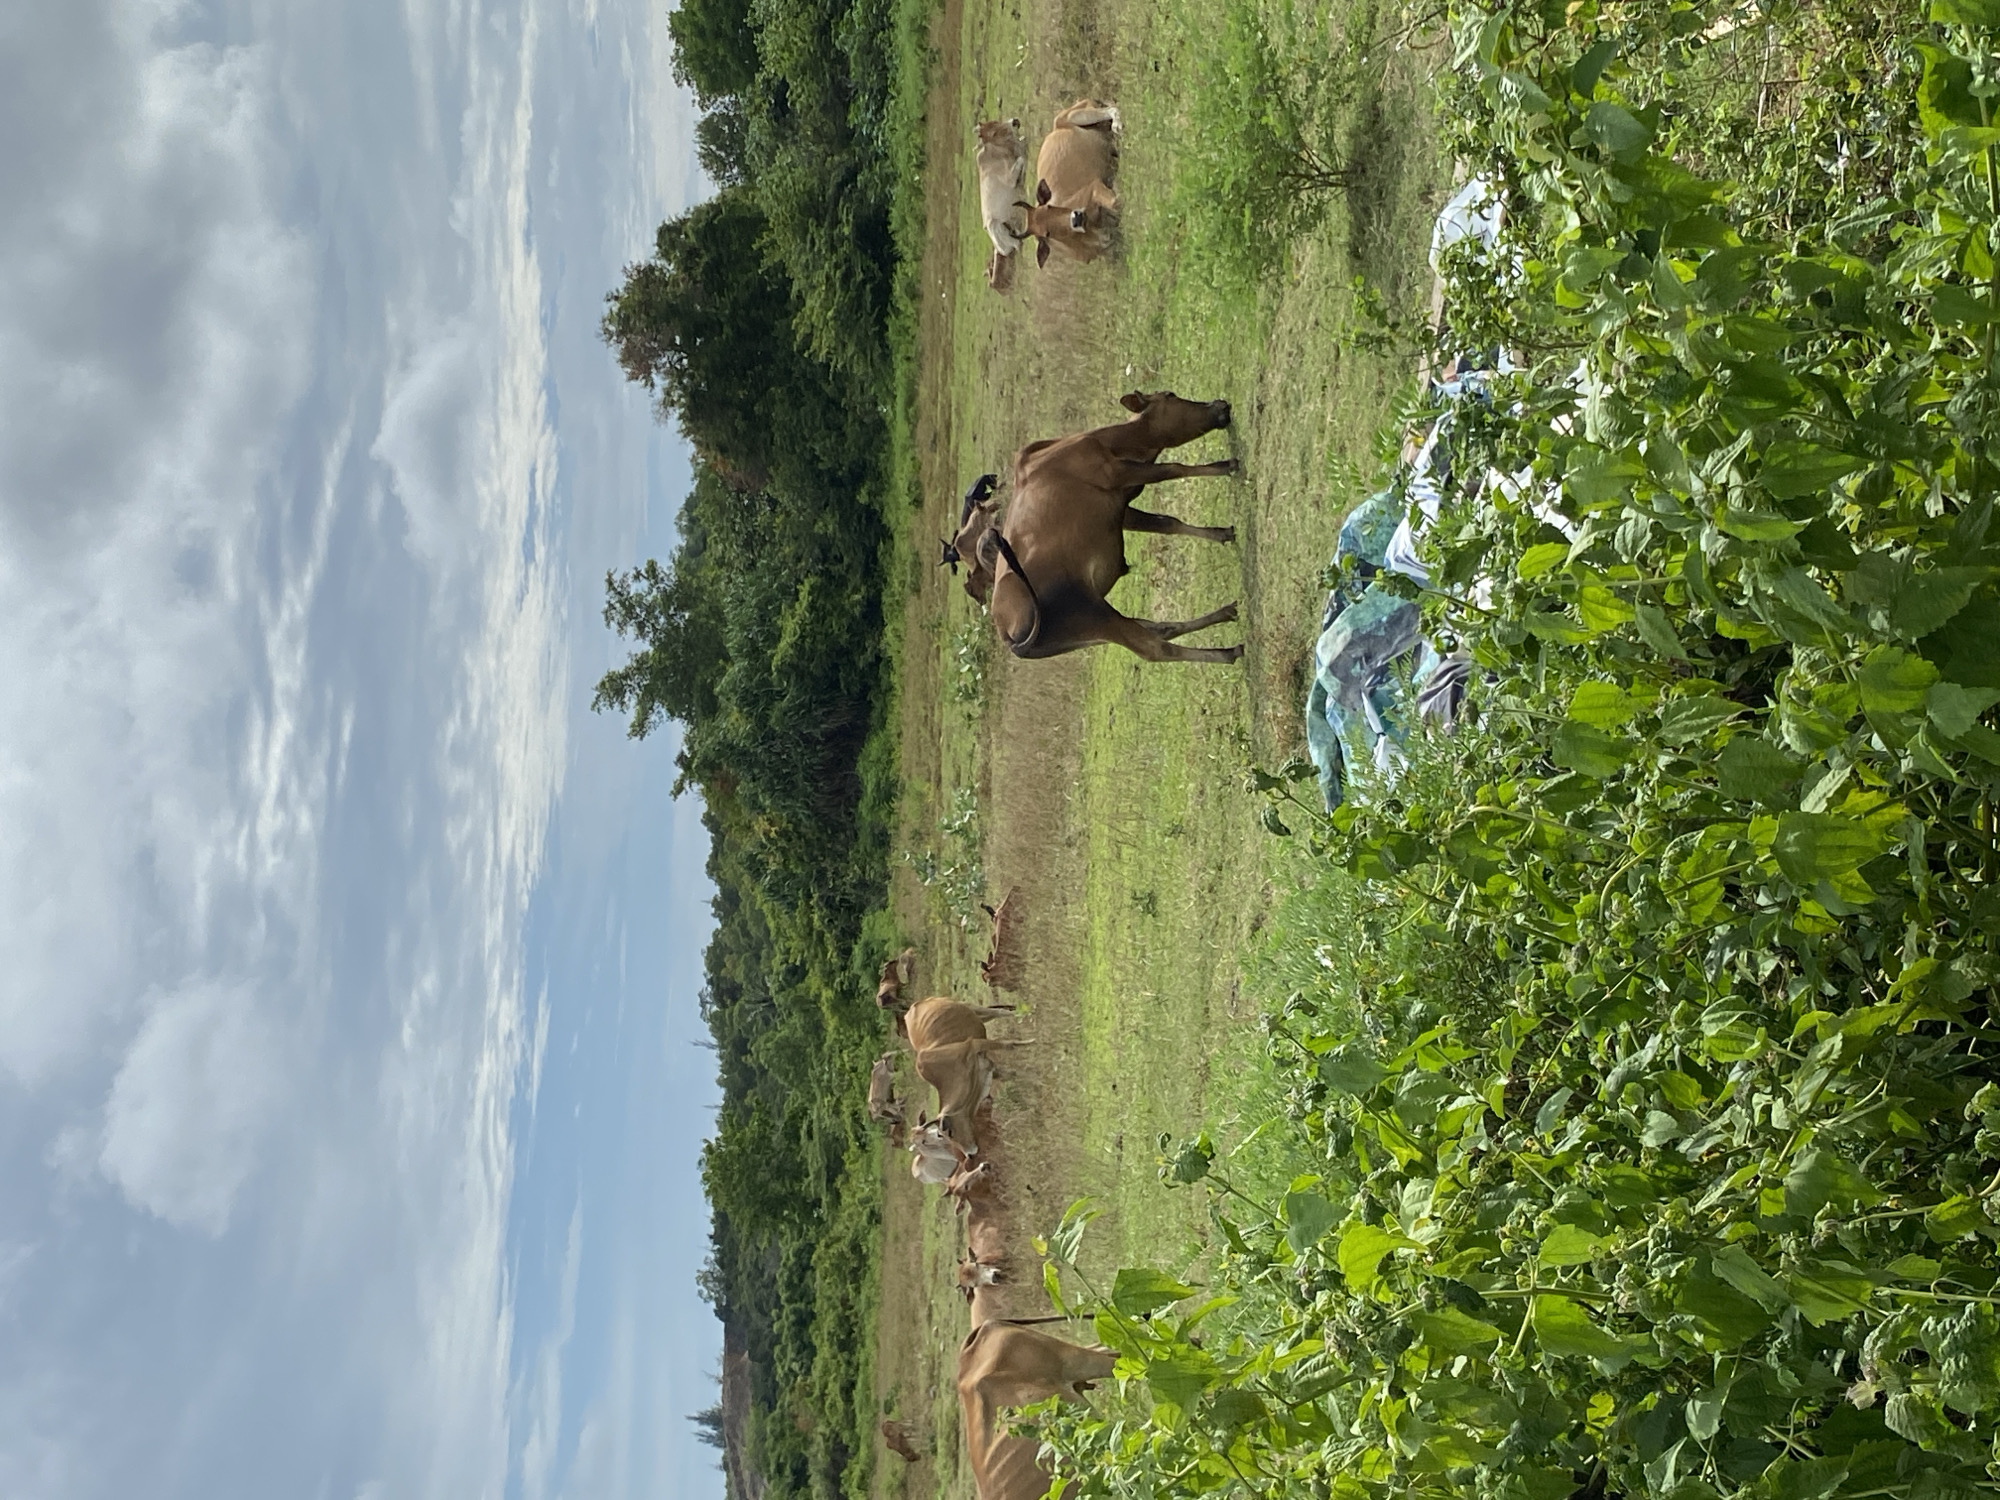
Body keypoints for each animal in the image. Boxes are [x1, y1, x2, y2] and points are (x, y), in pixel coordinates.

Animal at [971, 391, 1244, 663]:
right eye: (1170, 395)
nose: (1220, 404)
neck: (1108, 442)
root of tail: (1007, 633)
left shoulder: (1120, 506)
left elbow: (1167, 522)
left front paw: (1221, 533)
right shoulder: (1116, 472)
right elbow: (1172, 469)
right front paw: (1226, 465)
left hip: (1085, 632)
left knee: (1161, 628)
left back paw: (1226, 613)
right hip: (1092, 613)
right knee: (1156, 649)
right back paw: (1228, 652)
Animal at [976, 118, 1030, 260]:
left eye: (995, 121)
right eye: (995, 129)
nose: (1015, 121)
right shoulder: (1009, 180)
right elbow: (1021, 159)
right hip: (993, 225)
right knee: (1016, 245)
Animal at [1027, 102, 1120, 267]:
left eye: (1050, 206)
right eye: (1047, 233)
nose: (1076, 218)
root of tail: (1056, 128)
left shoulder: (1094, 187)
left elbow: (1115, 202)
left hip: (1076, 115)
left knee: (1110, 109)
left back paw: (1117, 124)